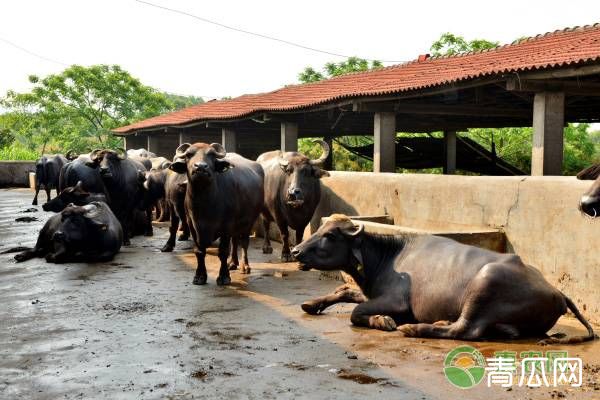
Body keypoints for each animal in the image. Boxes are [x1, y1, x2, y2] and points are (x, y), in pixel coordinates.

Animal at [169, 143, 262, 284]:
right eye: (188, 155)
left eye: (212, 155)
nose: (200, 167)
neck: (204, 204)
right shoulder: (192, 225)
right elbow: (199, 251)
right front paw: (200, 276)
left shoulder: (226, 226)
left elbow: (223, 252)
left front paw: (224, 277)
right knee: (235, 241)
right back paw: (232, 263)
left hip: (249, 221)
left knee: (244, 243)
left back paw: (244, 266)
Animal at [292, 216, 596, 344]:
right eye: (319, 229)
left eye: (330, 235)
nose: (295, 251)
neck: (385, 258)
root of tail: (557, 292)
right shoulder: (368, 291)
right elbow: (344, 289)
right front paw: (311, 303)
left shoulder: (397, 302)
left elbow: (357, 312)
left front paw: (384, 321)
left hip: (485, 281)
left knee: (465, 330)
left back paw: (415, 328)